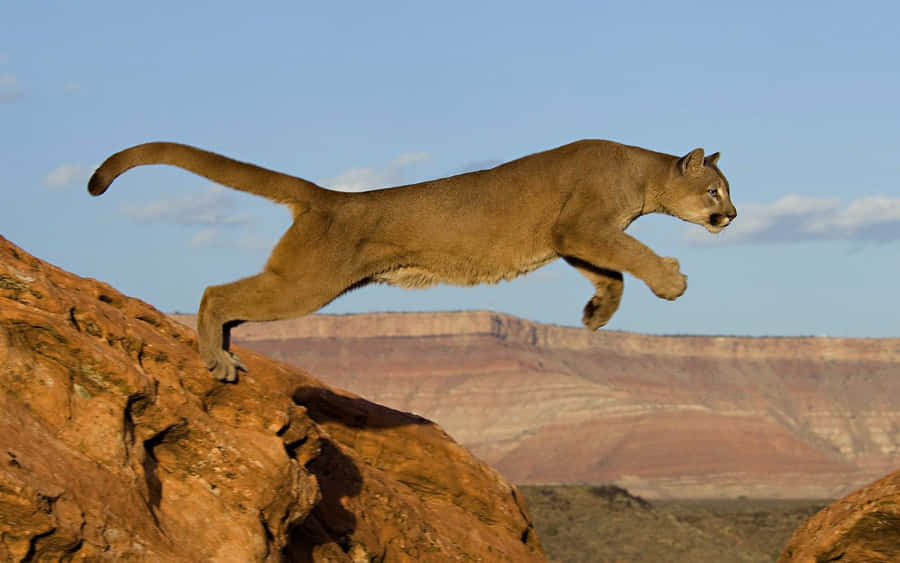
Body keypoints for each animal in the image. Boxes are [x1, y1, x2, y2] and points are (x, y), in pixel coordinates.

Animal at [89, 139, 736, 382]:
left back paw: (223, 353)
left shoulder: (572, 239)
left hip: (298, 281)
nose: (732, 216)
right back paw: (217, 361)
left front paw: (598, 313)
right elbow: (631, 253)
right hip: (305, 284)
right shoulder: (580, 225)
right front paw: (671, 282)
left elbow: (612, 269)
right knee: (214, 293)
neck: (643, 173)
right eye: (714, 191)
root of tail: (333, 197)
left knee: (230, 301)